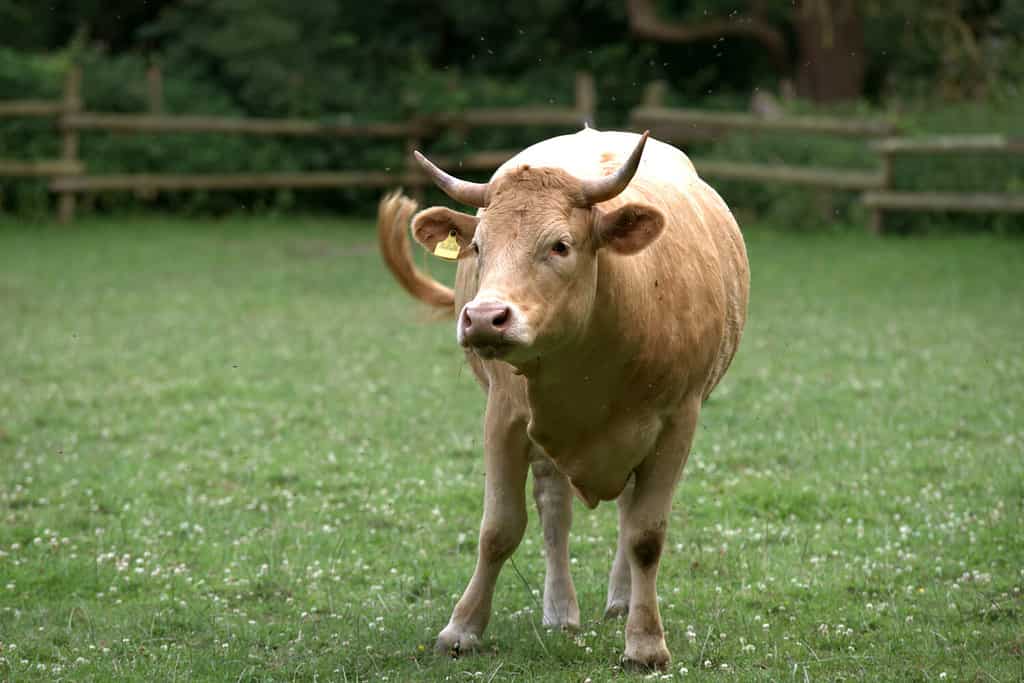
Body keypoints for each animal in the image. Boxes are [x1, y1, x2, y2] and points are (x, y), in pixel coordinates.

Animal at [376, 125, 745, 671]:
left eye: (560, 245)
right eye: (478, 246)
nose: (484, 318)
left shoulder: (678, 421)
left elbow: (646, 535)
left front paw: (645, 643)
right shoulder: (505, 416)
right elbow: (499, 529)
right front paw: (462, 628)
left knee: (628, 513)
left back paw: (621, 600)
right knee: (554, 511)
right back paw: (560, 610)